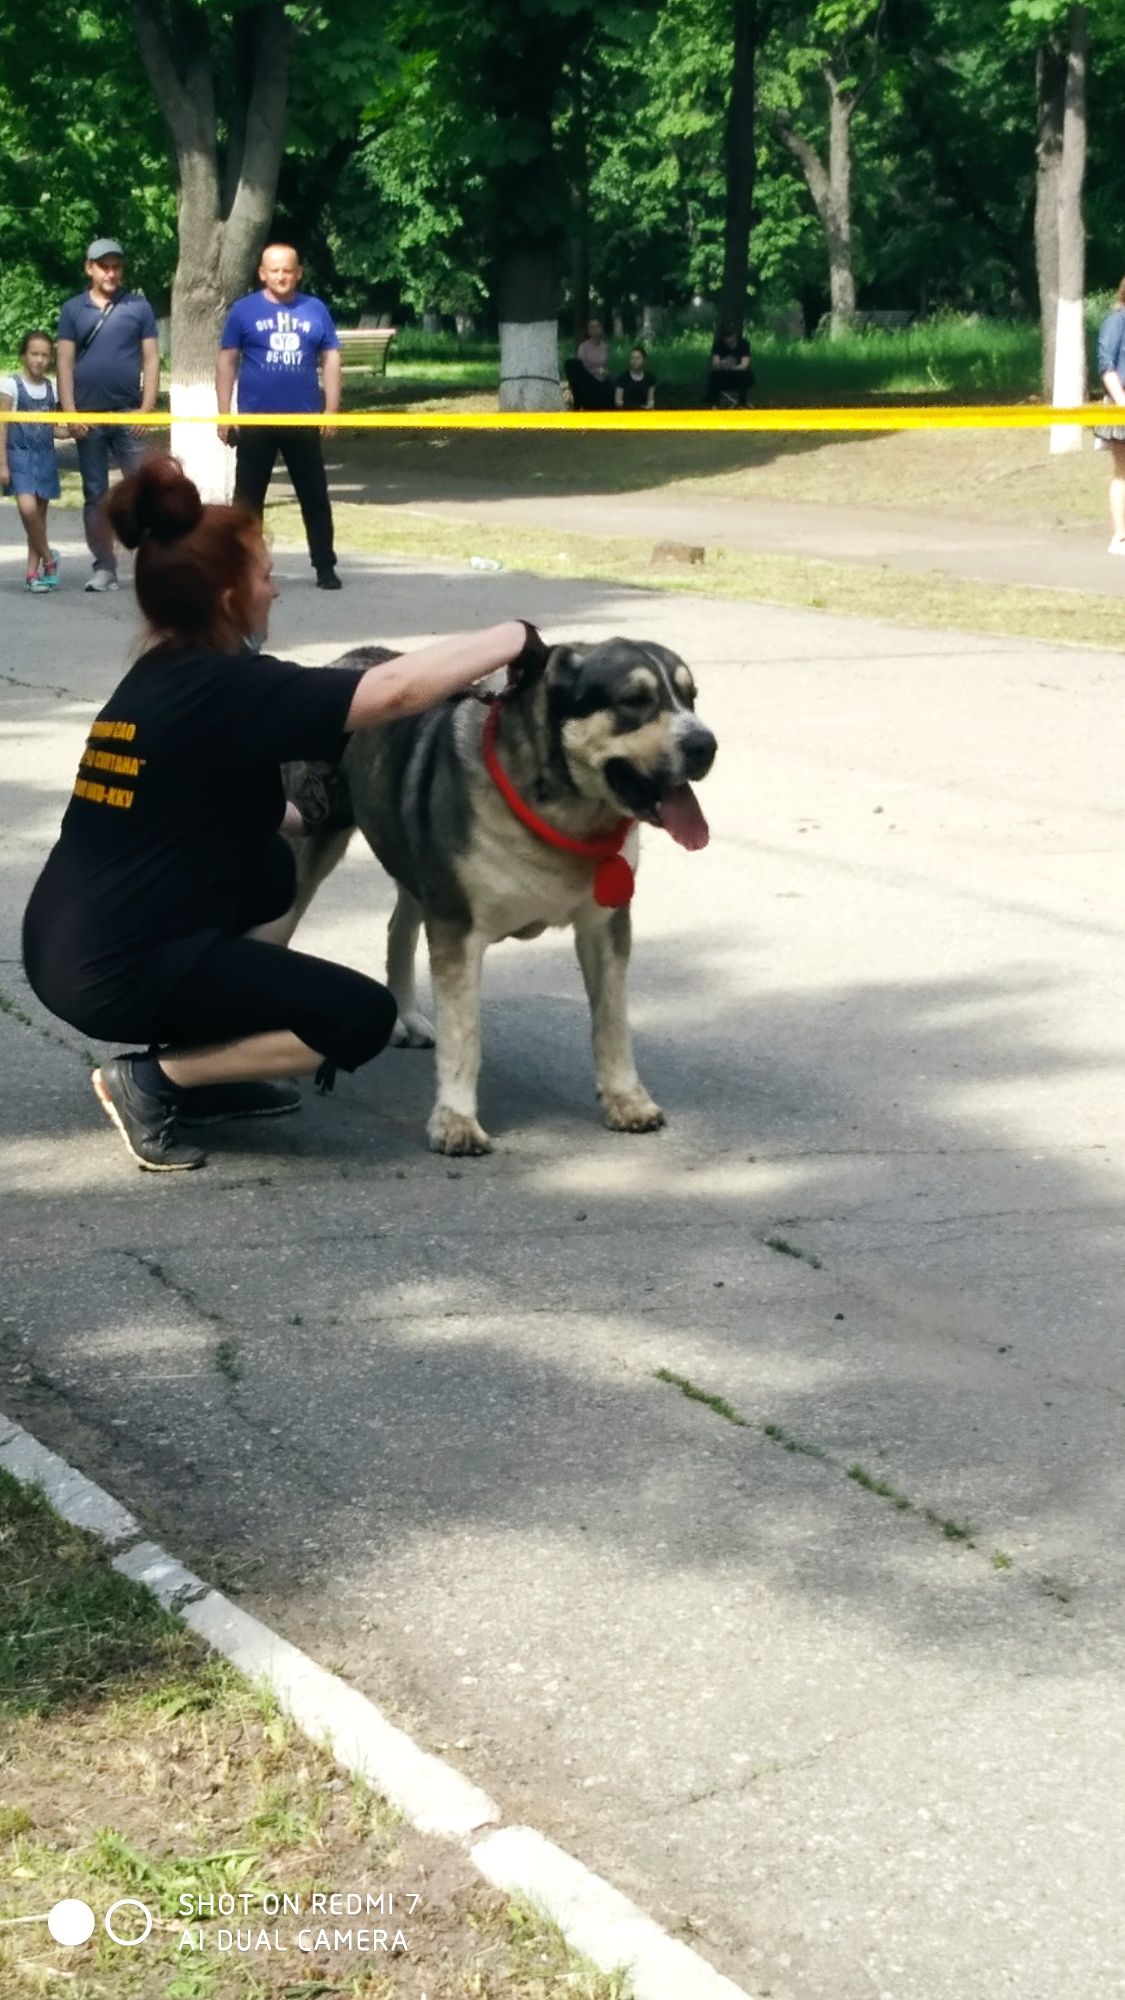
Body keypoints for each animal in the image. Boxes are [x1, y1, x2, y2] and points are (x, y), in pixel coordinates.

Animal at [284, 632, 712, 1152]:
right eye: (634, 701)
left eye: (691, 697)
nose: (705, 744)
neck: (563, 811)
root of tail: (347, 659)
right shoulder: (457, 924)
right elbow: (464, 1033)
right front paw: (456, 1121)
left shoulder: (605, 923)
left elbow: (612, 1020)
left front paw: (627, 1100)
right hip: (313, 840)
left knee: (398, 927)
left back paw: (407, 1015)